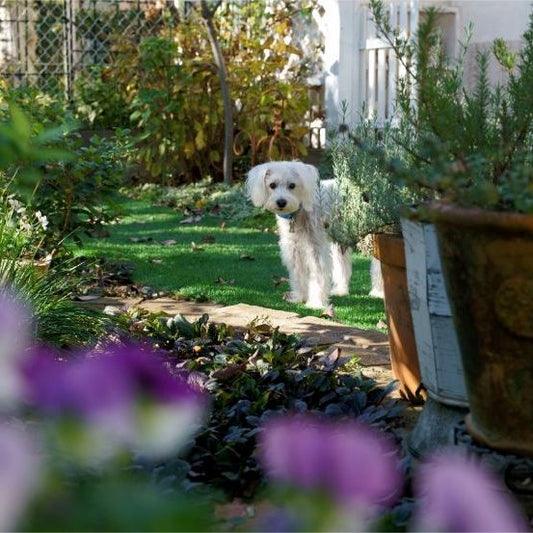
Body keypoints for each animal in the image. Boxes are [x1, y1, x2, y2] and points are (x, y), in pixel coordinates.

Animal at [246, 160, 354, 310]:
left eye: (292, 185)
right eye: (272, 185)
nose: (281, 202)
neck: (298, 212)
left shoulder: (316, 249)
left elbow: (317, 275)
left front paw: (315, 303)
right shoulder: (294, 248)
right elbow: (298, 274)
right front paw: (300, 297)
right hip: (340, 241)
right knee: (343, 265)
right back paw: (341, 290)